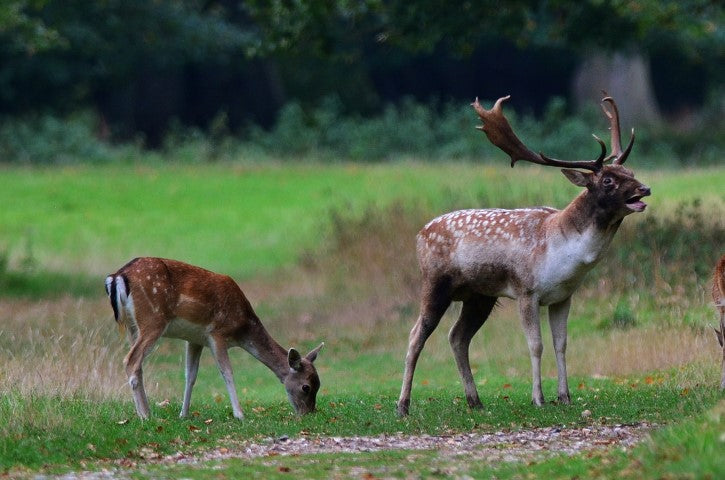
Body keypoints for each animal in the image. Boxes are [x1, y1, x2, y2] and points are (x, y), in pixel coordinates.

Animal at [104, 256, 322, 418]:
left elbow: (190, 375)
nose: (308, 413)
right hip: (153, 320)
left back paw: (145, 412)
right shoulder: (217, 333)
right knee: (130, 360)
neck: (242, 327)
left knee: (137, 363)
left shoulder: (194, 339)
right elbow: (227, 372)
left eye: (319, 385)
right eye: (306, 387)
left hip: (134, 327)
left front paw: (183, 414)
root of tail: (117, 277)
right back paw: (145, 415)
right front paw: (240, 414)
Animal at [396, 94, 652, 416]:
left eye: (630, 172)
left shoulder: (563, 296)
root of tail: (419, 235)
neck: (563, 253)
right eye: (608, 180)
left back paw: (475, 401)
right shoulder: (526, 290)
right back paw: (403, 406)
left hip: (479, 296)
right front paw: (538, 398)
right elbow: (536, 345)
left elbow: (561, 343)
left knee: (457, 336)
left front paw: (565, 396)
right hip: (435, 281)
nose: (645, 188)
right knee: (416, 334)